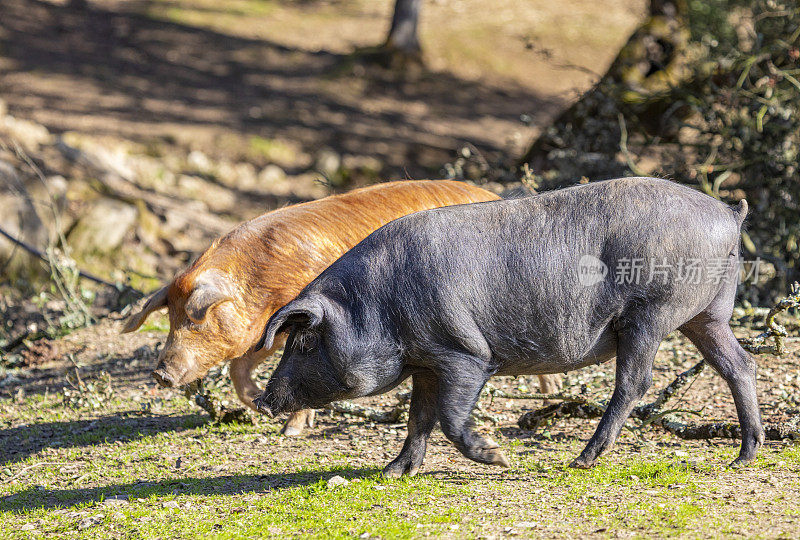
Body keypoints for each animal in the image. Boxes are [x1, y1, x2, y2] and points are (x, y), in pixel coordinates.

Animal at [123, 180, 564, 434]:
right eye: (169, 319)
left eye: (194, 320)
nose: (160, 373)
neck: (260, 283)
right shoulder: (264, 333)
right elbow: (239, 367)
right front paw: (260, 407)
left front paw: (292, 430)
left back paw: (549, 392)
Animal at [255, 178, 764, 476]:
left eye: (303, 342)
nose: (263, 400)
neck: (379, 307)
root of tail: (728, 213)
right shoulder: (425, 364)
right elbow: (418, 418)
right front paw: (392, 472)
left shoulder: (464, 354)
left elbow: (449, 417)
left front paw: (499, 456)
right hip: (708, 314)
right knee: (739, 364)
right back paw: (743, 456)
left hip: (650, 314)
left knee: (635, 383)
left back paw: (579, 461)